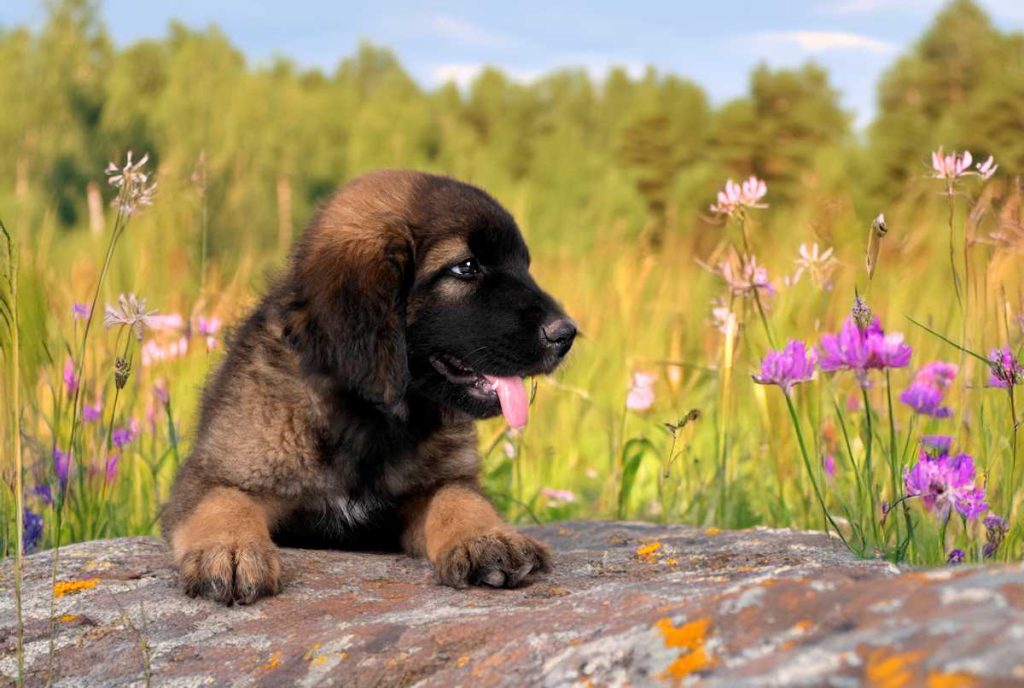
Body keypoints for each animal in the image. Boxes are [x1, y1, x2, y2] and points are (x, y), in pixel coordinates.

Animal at [159, 168, 577, 606]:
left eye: (524, 265)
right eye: (466, 267)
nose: (566, 334)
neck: (366, 413)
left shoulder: (433, 487)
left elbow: (459, 498)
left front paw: (487, 538)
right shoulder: (214, 474)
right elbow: (224, 501)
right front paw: (231, 549)